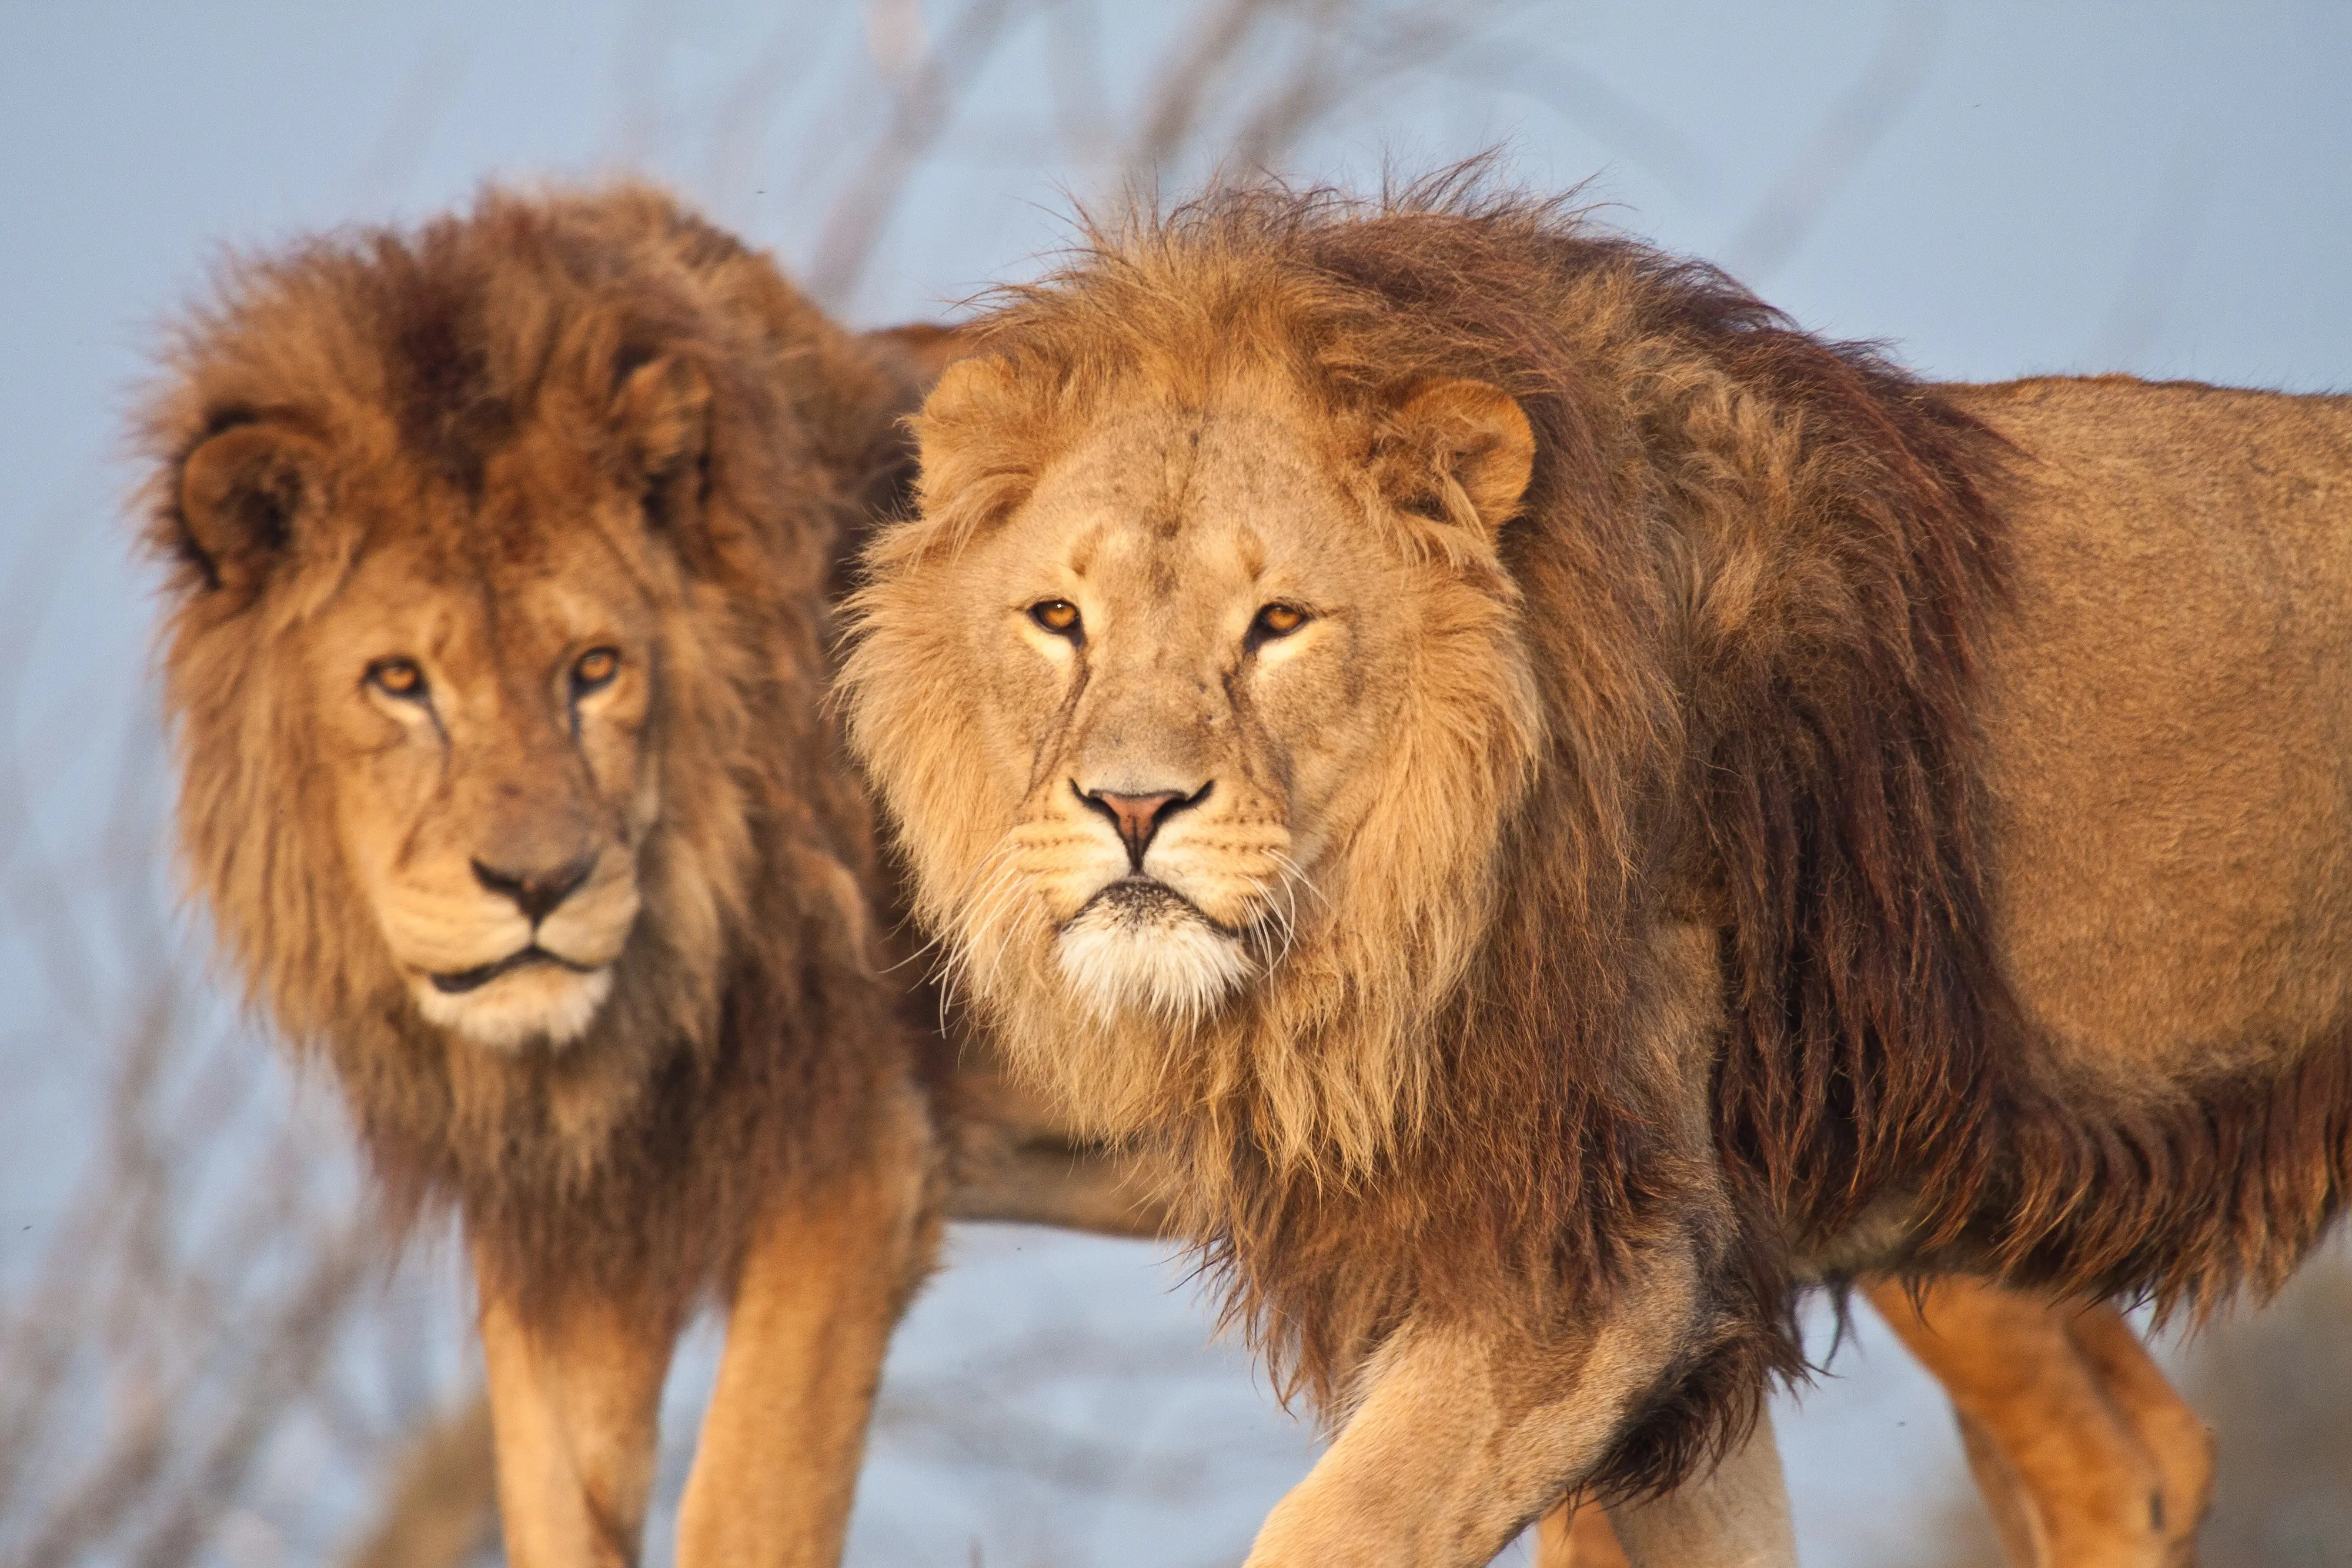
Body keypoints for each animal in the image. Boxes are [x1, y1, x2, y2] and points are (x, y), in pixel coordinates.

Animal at [135, 186, 946, 1568]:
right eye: (400, 682)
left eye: (596, 669)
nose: (537, 886)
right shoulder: (571, 1220)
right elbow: (556, 1509)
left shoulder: (859, 1158)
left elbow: (743, 1510)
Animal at [837, 177, 2343, 1561]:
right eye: (1057, 620)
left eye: (1278, 624)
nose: (1131, 804)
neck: (1377, 935)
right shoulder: (1663, 1304)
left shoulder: (1601, 1271)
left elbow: (1333, 1530)